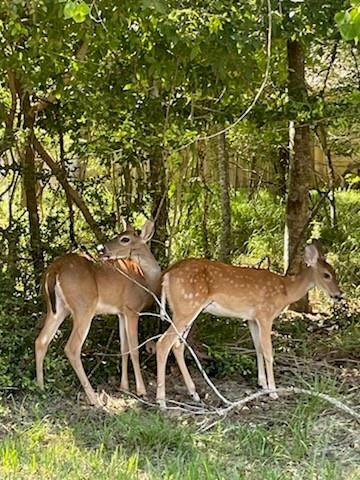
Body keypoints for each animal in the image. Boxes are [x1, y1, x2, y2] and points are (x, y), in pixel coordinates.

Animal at [35, 219, 160, 406]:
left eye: (124, 238)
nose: (102, 249)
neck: (146, 280)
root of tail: (54, 269)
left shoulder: (121, 312)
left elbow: (123, 348)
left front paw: (124, 387)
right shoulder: (132, 309)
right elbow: (134, 349)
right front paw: (141, 391)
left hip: (57, 309)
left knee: (41, 341)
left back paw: (40, 387)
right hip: (84, 307)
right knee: (72, 348)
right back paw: (94, 398)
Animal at [156, 242, 342, 406]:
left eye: (335, 272)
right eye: (326, 274)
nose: (339, 295)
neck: (286, 291)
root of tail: (166, 276)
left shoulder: (252, 318)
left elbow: (257, 348)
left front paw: (262, 384)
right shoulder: (265, 314)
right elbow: (268, 352)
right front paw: (273, 391)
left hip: (187, 309)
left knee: (177, 345)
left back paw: (194, 394)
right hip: (187, 306)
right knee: (163, 343)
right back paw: (161, 401)